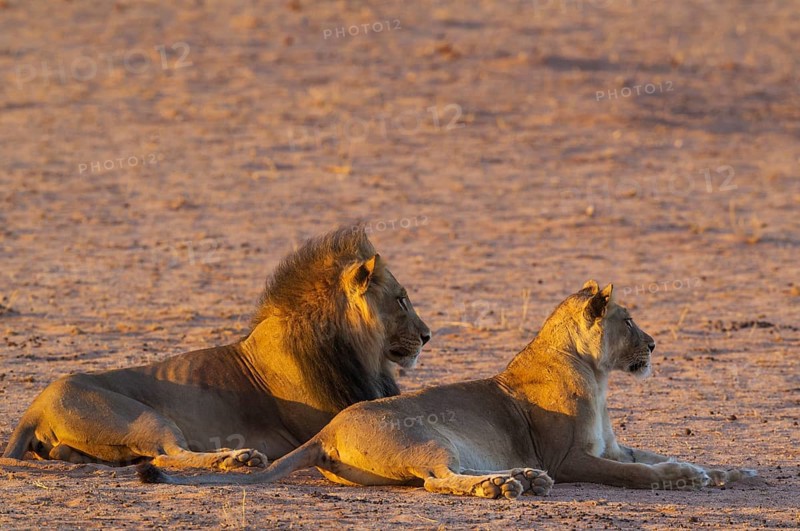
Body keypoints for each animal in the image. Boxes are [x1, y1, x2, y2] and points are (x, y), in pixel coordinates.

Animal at [3, 226, 431, 471]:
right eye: (401, 300)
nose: (427, 335)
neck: (361, 355)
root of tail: (35, 407)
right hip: (144, 418)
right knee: (167, 454)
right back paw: (237, 457)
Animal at [138, 280, 755, 498]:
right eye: (628, 320)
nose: (653, 344)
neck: (597, 375)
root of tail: (328, 430)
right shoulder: (572, 458)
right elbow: (637, 473)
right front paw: (681, 479)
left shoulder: (613, 446)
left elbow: (659, 454)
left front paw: (725, 471)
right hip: (430, 437)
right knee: (436, 479)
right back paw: (504, 485)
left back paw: (522, 478)